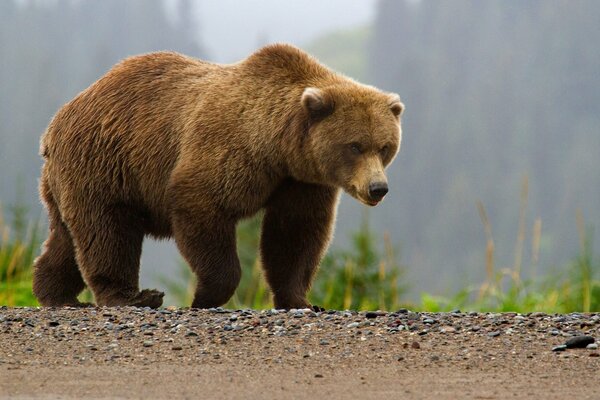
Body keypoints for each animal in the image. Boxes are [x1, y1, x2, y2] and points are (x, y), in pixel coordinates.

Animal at [35, 45, 406, 310]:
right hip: (106, 161)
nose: (378, 188)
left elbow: (295, 234)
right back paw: (132, 297)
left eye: (385, 146)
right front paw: (205, 296)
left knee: (68, 237)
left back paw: (56, 294)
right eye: (355, 146)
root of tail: (57, 121)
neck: (279, 146)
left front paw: (302, 301)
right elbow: (202, 205)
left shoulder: (301, 181)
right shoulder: (229, 149)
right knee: (107, 231)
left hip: (72, 177)